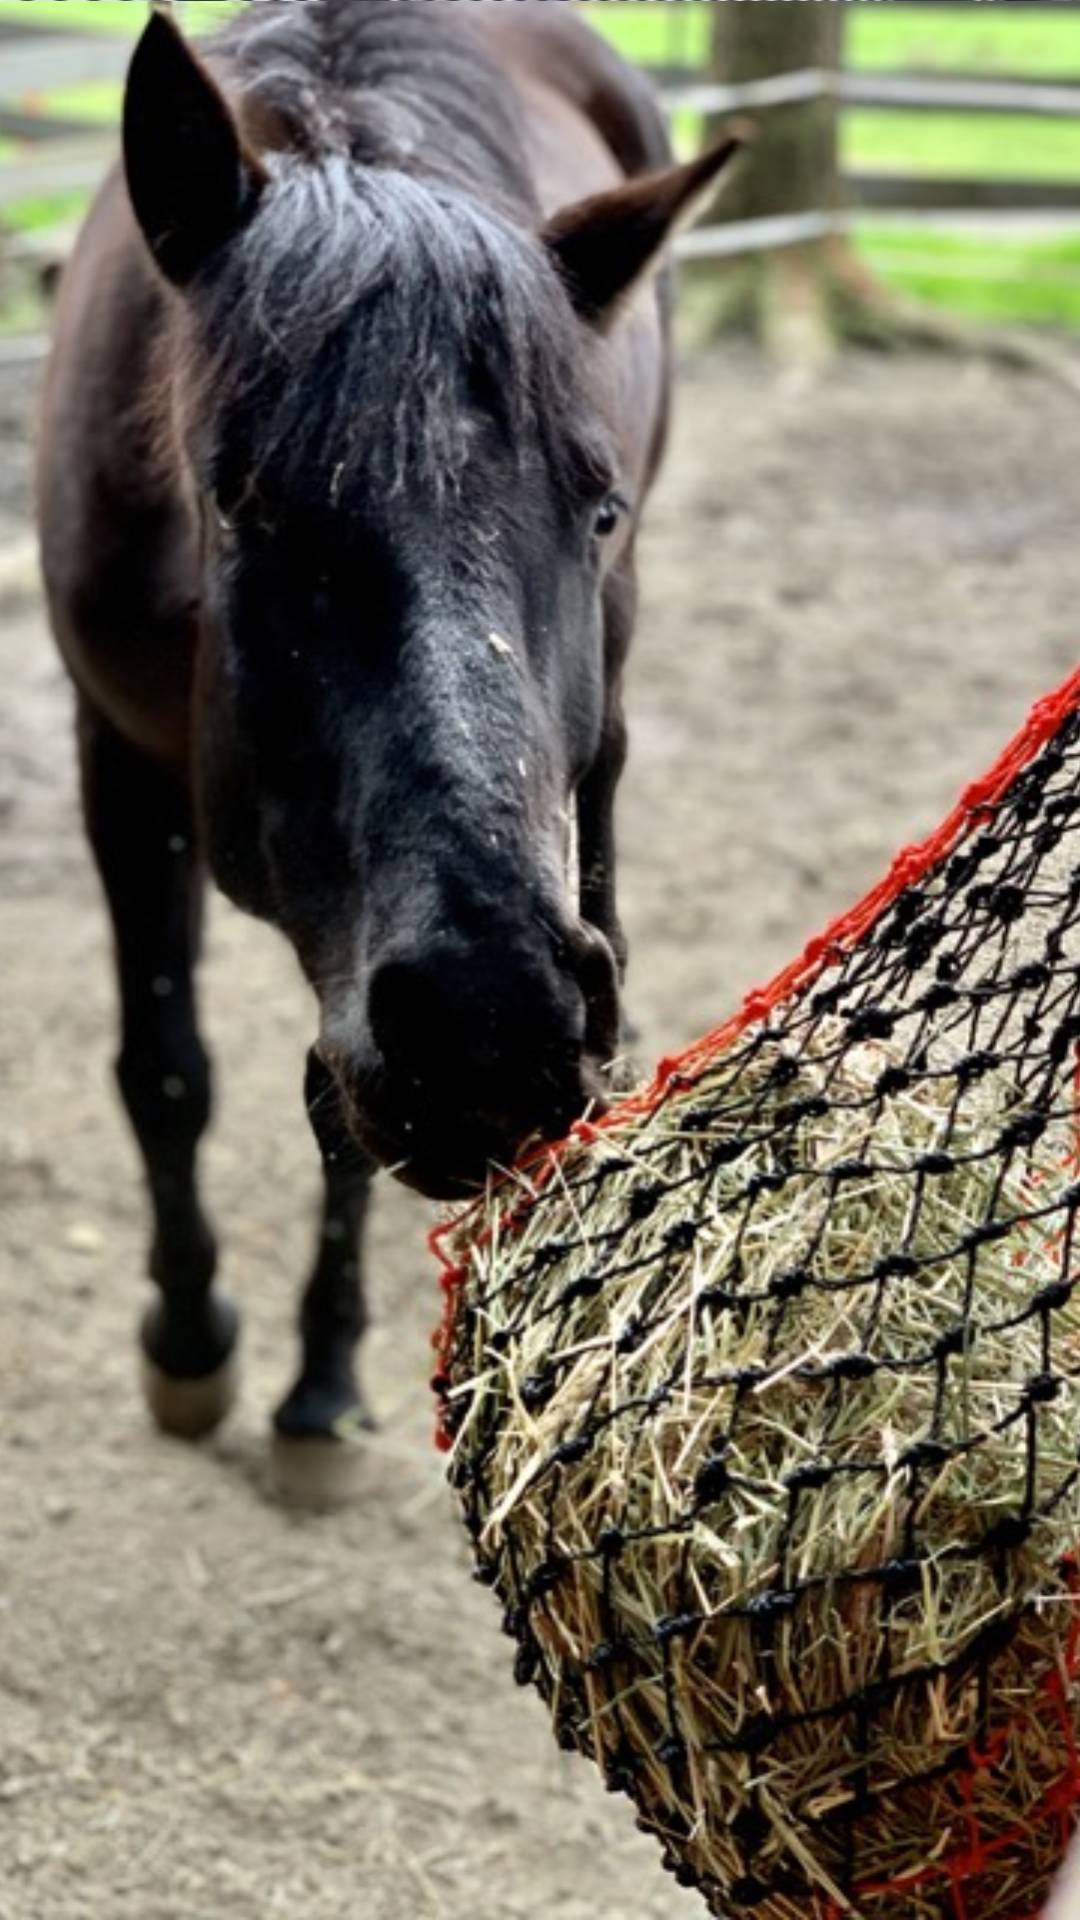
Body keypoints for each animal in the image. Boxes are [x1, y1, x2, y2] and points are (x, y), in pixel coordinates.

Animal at [37, 0, 736, 1468]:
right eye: (236, 498)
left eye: (595, 510)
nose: (493, 1025)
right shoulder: (115, 757)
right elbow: (165, 1070)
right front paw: (190, 1343)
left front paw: (323, 1371)